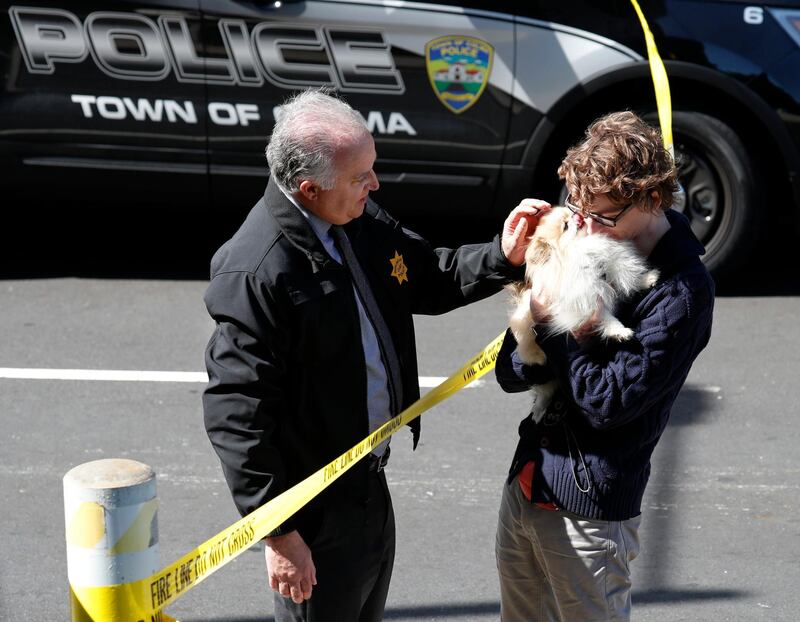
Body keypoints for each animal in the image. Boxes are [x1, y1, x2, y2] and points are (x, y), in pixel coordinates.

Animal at [510, 207, 660, 422]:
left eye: (568, 211)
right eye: (565, 226)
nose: (576, 216)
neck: (580, 249)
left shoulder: (608, 267)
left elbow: (622, 277)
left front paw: (647, 279)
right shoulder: (586, 299)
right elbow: (606, 316)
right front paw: (619, 332)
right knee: (542, 386)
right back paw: (539, 406)